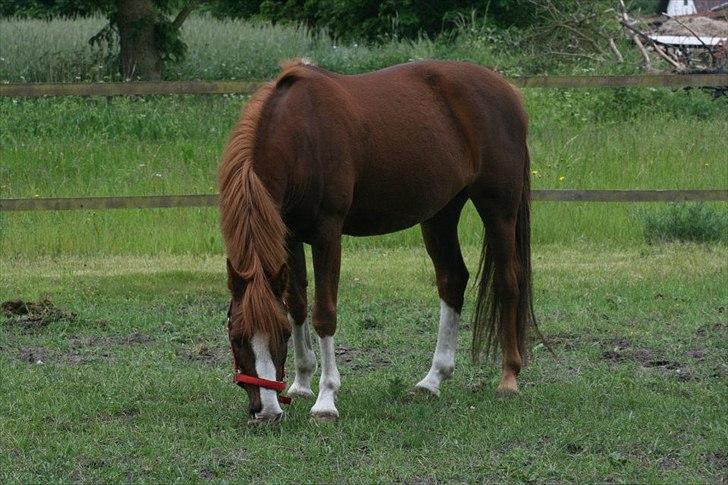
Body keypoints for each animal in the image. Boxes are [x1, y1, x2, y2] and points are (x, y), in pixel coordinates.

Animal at [218, 59, 536, 423]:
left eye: (280, 336)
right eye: (235, 337)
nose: (268, 412)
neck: (300, 134)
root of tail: (507, 89)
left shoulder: (327, 232)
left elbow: (324, 313)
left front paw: (326, 400)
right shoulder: (289, 233)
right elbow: (296, 304)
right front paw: (300, 385)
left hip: (499, 208)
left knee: (508, 281)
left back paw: (508, 378)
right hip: (441, 212)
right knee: (452, 280)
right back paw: (432, 381)